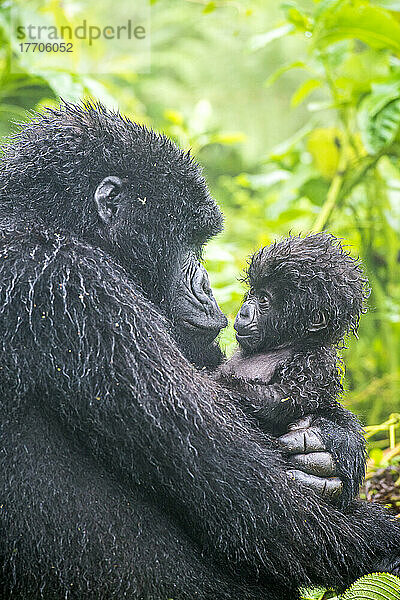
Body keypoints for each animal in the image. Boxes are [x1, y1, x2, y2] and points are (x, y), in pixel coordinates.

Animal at [217, 233, 370, 492]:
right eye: (252, 293)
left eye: (263, 300)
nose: (243, 311)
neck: (286, 343)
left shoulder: (316, 362)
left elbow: (284, 398)